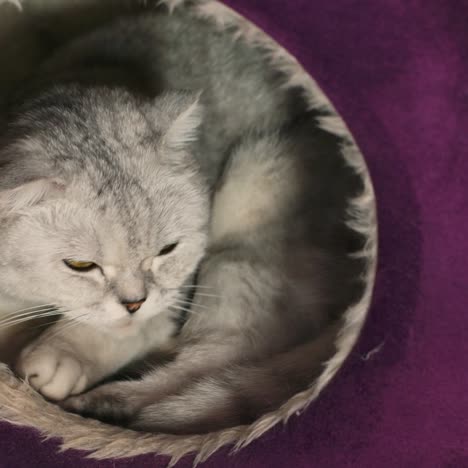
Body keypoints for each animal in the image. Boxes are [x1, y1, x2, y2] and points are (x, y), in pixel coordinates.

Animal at [0, 4, 362, 436]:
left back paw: (111, 403)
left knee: (217, 359)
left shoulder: (176, 292)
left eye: (167, 249)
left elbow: (129, 328)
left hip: (249, 205)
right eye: (80, 265)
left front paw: (62, 354)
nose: (134, 303)